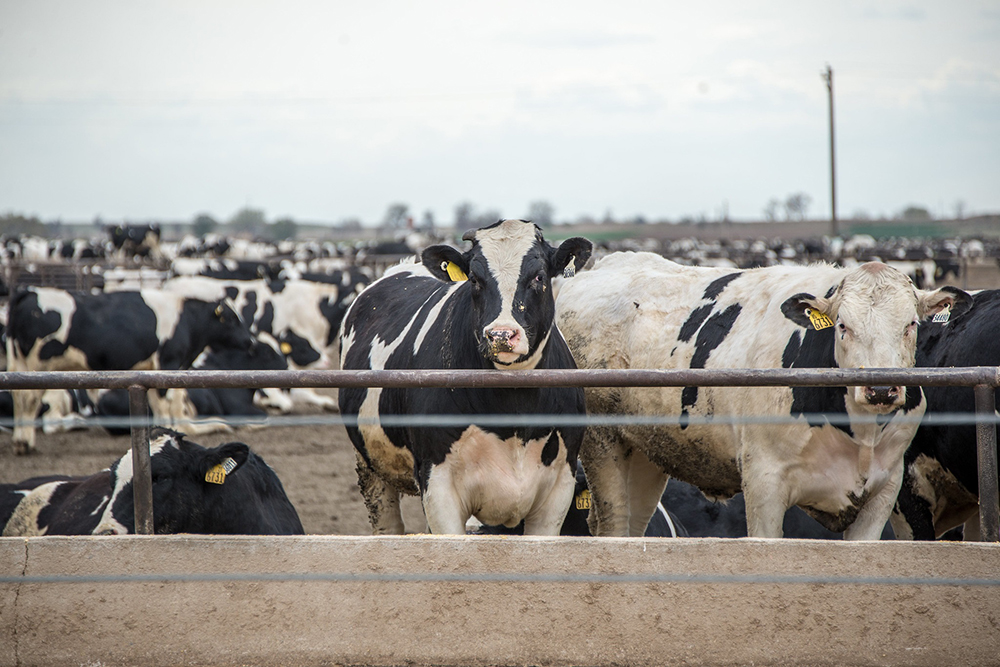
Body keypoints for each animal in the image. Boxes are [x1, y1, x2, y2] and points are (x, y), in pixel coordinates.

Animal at [5, 286, 255, 453]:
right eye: (231, 319)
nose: (250, 341)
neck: (186, 318)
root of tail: (30, 292)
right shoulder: (168, 362)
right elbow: (166, 404)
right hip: (37, 366)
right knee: (29, 399)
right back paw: (25, 443)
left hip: (19, 364)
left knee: (18, 397)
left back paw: (19, 441)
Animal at [339, 219, 592, 535]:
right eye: (473, 279)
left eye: (539, 276)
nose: (500, 335)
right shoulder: (437, 485)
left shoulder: (560, 487)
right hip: (370, 466)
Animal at [556, 253, 971, 539]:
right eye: (842, 326)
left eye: (911, 324)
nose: (882, 387)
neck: (857, 433)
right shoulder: (764, 484)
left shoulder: (885, 491)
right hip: (602, 443)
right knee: (614, 523)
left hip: (647, 450)